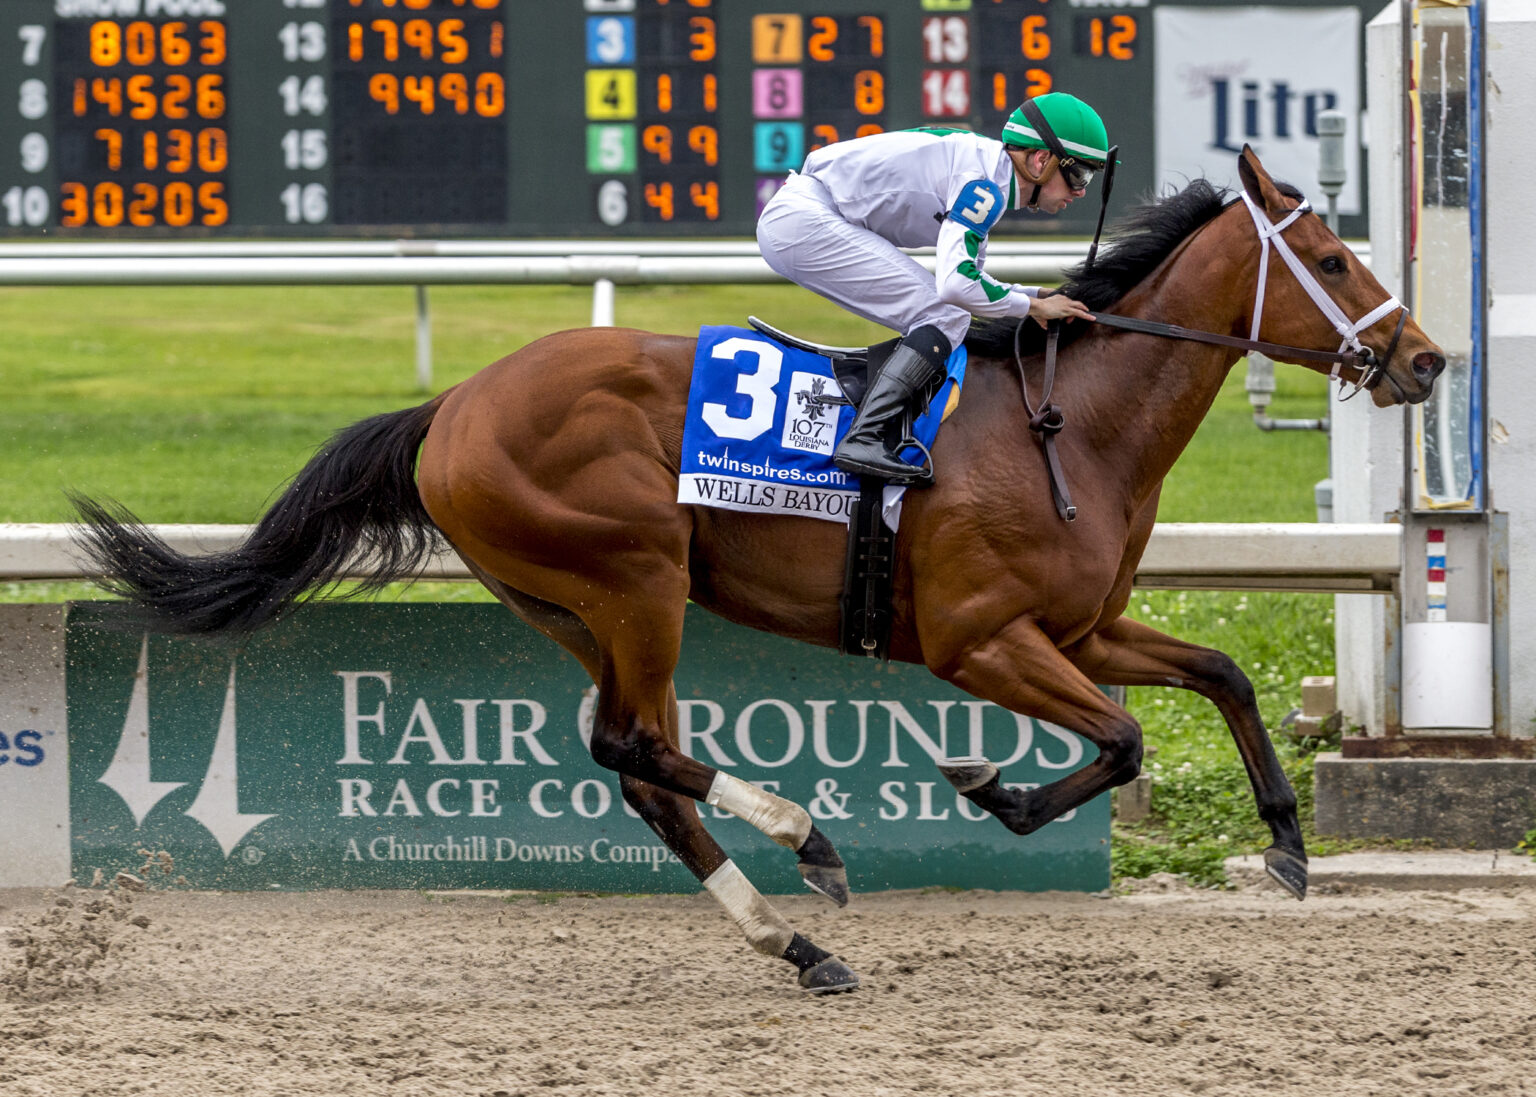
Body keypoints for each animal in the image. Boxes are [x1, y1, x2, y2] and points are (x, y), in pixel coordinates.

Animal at [72, 149, 1437, 995]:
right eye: (1333, 256)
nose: (1423, 359)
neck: (1072, 420)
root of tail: (450, 403)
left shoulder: (1081, 626)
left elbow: (1218, 675)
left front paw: (1287, 843)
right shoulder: (982, 638)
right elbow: (1122, 739)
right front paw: (991, 785)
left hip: (578, 604)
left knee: (640, 767)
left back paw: (794, 939)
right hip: (633, 576)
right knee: (630, 744)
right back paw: (807, 841)